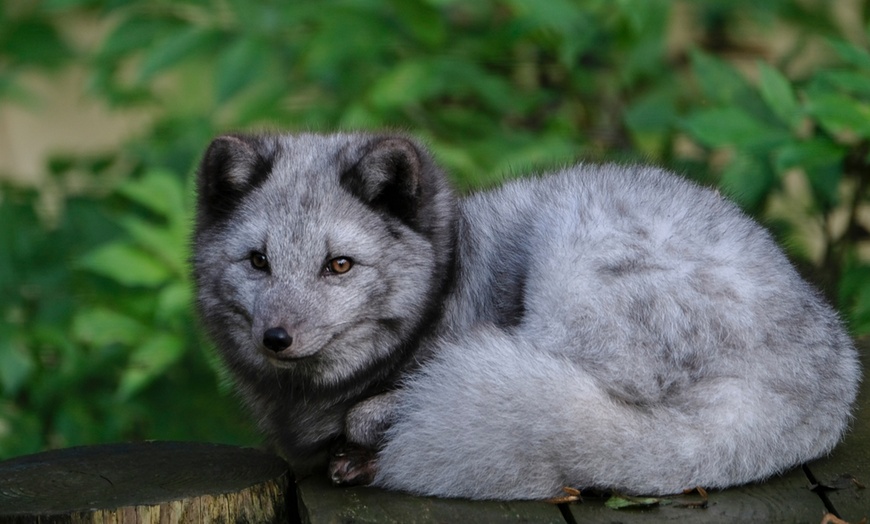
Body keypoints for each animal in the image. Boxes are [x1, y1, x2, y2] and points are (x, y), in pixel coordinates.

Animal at [194, 131, 860, 500]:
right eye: (258, 261)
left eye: (338, 265)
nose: (277, 337)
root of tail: (829, 373)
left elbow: (363, 412)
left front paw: (361, 438)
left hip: (576, 248)